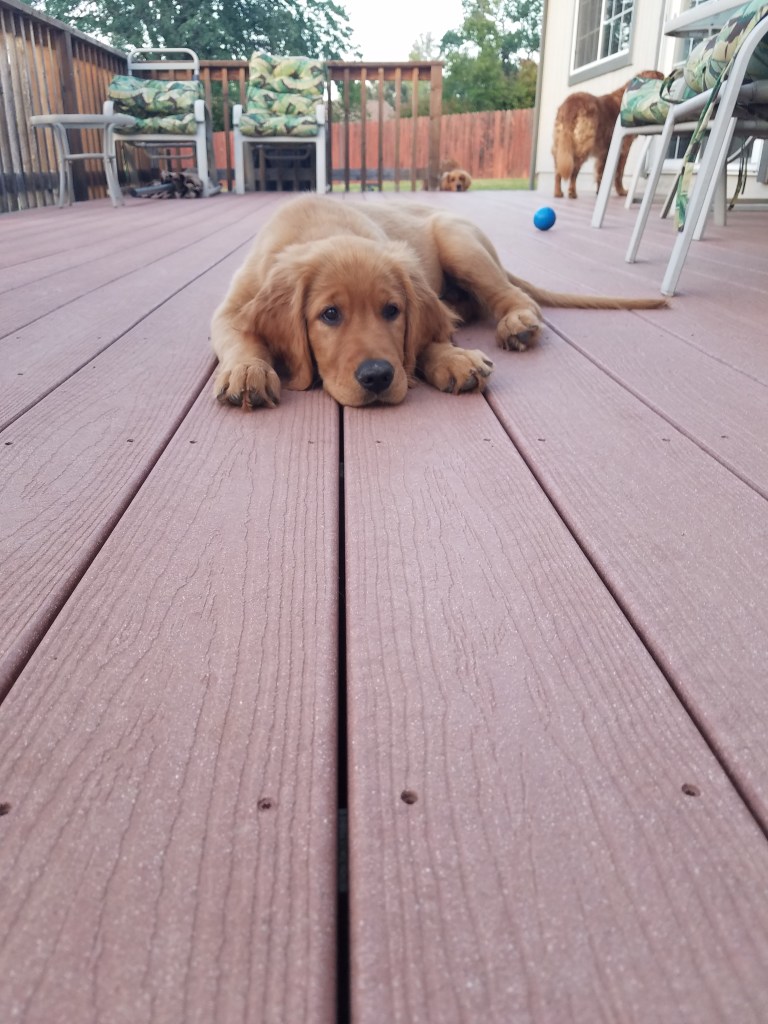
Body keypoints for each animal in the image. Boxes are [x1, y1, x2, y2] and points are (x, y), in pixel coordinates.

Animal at [211, 194, 666, 409]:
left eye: (392, 311)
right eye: (330, 314)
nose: (377, 377)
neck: (321, 228)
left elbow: (424, 338)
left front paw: (453, 358)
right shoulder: (229, 310)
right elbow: (240, 338)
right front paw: (248, 371)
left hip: (458, 241)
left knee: (511, 296)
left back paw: (518, 322)